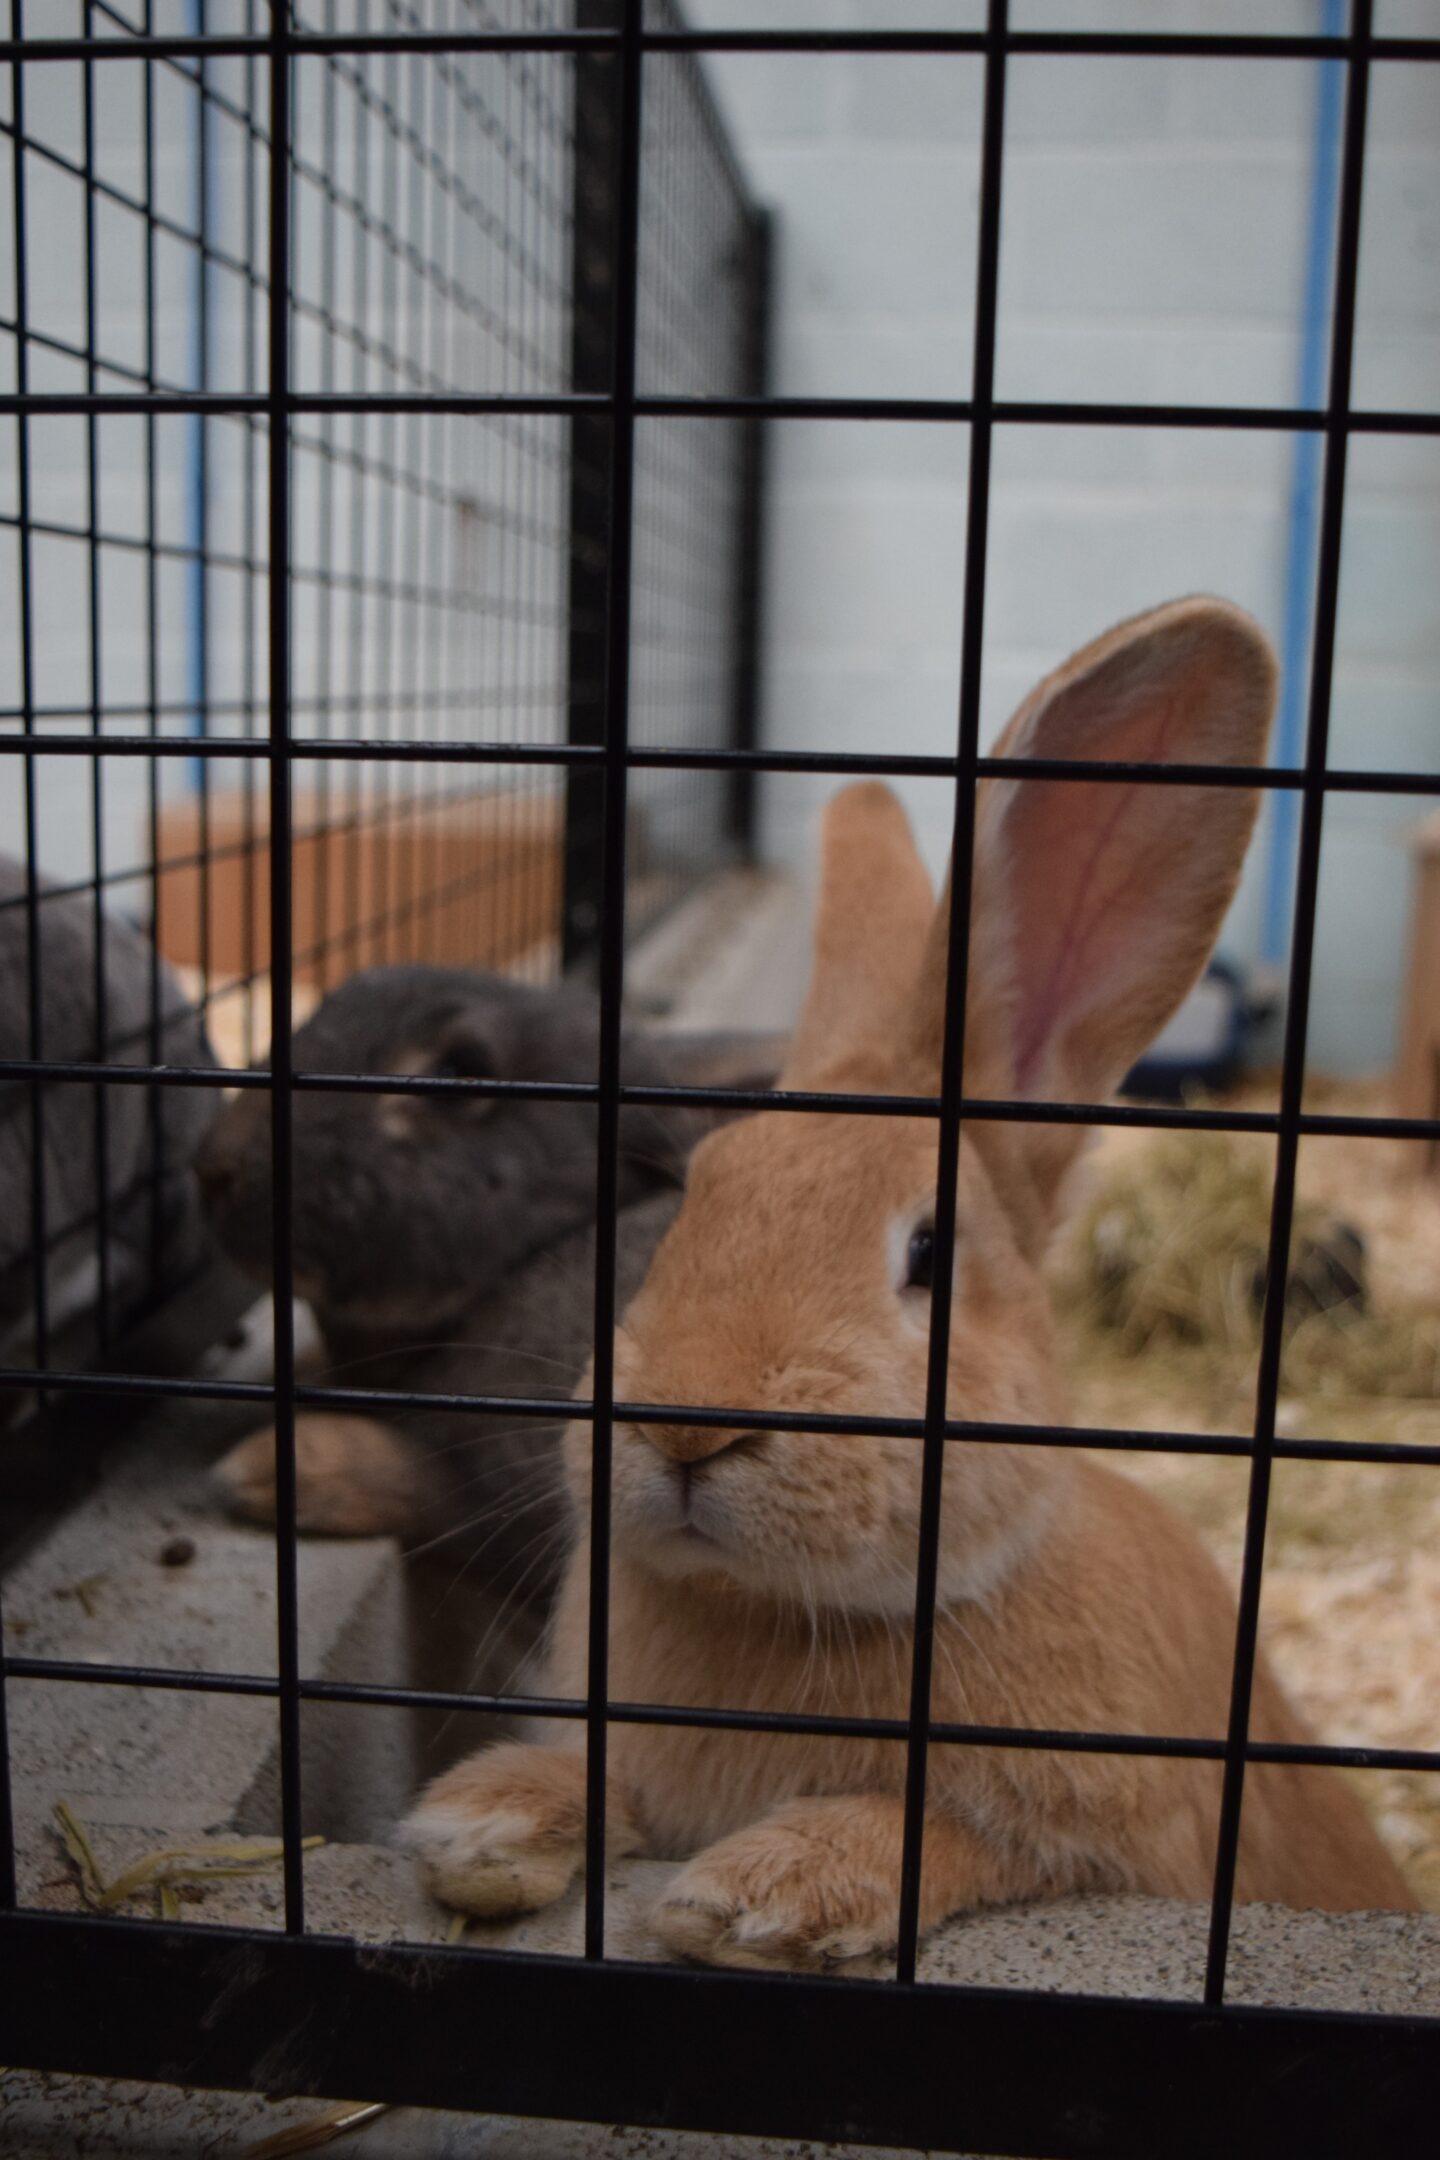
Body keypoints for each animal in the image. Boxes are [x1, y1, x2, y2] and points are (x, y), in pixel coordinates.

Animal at [399, 599, 1417, 1966]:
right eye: (698, 1197)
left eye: (932, 1253)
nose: (685, 1428)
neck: (782, 1613)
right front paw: (483, 1824)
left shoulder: (1126, 1847)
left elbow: (951, 1838)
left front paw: (758, 1895)